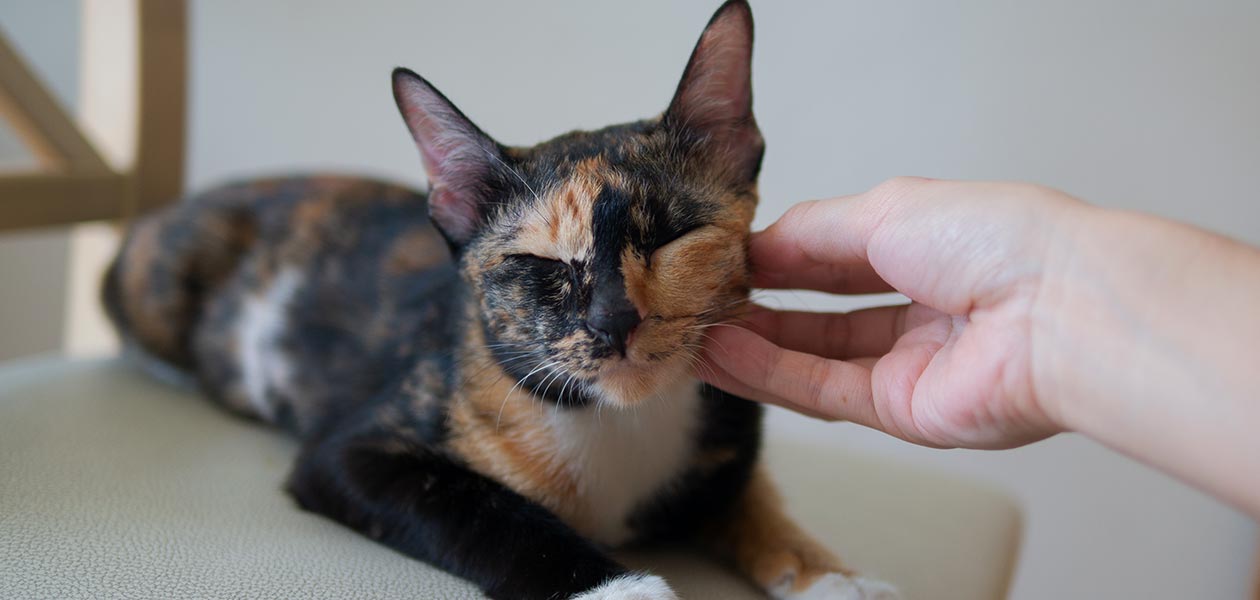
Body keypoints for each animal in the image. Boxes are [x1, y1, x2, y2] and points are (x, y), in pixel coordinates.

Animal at [103, 2, 902, 597]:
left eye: (674, 234)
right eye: (540, 264)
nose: (614, 319)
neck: (620, 421)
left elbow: (751, 496)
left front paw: (827, 573)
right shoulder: (348, 455)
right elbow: (484, 511)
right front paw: (624, 588)